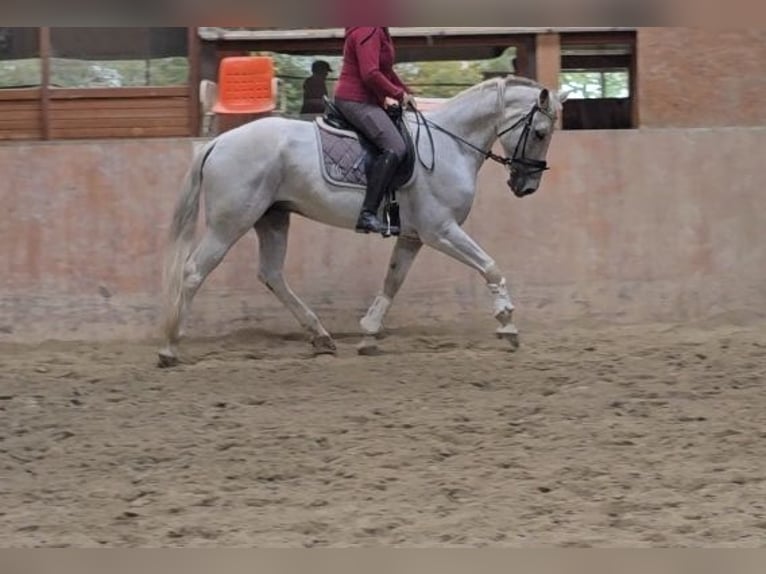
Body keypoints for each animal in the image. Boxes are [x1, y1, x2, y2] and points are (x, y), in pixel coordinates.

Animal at [159, 75, 568, 368]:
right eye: (540, 132)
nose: (526, 186)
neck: (451, 145)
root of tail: (219, 142)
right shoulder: (441, 231)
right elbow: (490, 265)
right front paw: (507, 323)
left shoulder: (413, 236)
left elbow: (393, 280)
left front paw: (369, 335)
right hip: (230, 222)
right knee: (194, 272)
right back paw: (170, 346)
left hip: (272, 218)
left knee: (272, 274)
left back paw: (321, 336)